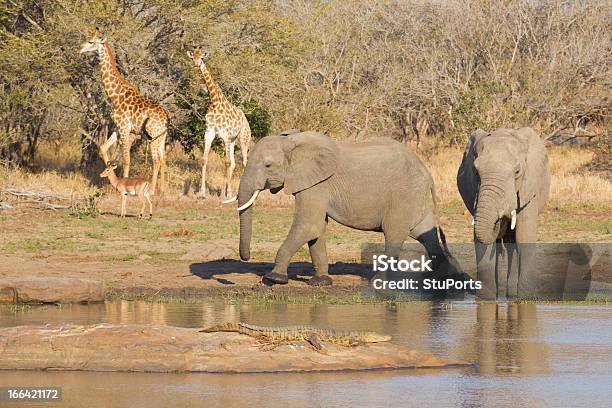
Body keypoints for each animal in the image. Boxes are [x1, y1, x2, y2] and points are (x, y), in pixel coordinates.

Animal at [80, 28, 170, 196]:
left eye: (91, 41)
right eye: (87, 38)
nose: (79, 49)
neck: (115, 95)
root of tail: (166, 119)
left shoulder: (124, 128)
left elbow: (126, 159)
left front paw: (124, 184)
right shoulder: (117, 128)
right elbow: (103, 148)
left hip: (153, 136)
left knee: (156, 160)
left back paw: (152, 190)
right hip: (161, 137)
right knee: (163, 158)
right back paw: (162, 189)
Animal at [188, 47, 252, 198]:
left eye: (202, 58)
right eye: (193, 57)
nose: (196, 66)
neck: (215, 102)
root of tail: (245, 118)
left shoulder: (225, 135)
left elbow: (227, 162)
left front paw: (228, 194)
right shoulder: (209, 133)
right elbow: (204, 160)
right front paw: (202, 193)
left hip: (244, 138)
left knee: (244, 162)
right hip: (233, 140)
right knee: (234, 163)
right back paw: (228, 191)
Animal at [230, 131, 454, 286]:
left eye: (268, 166)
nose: (246, 257)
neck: (292, 142)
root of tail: (427, 173)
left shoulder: (317, 184)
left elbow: (309, 226)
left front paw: (274, 279)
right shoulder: (314, 184)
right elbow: (317, 229)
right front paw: (320, 282)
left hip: (403, 196)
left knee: (394, 233)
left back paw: (379, 283)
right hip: (415, 197)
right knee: (426, 234)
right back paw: (440, 280)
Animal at [456, 127, 552, 300]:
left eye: (517, 172)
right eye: (475, 171)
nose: (500, 220)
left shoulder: (530, 186)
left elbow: (523, 236)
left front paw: (526, 299)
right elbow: (481, 240)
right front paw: (485, 299)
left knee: (511, 243)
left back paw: (512, 296)